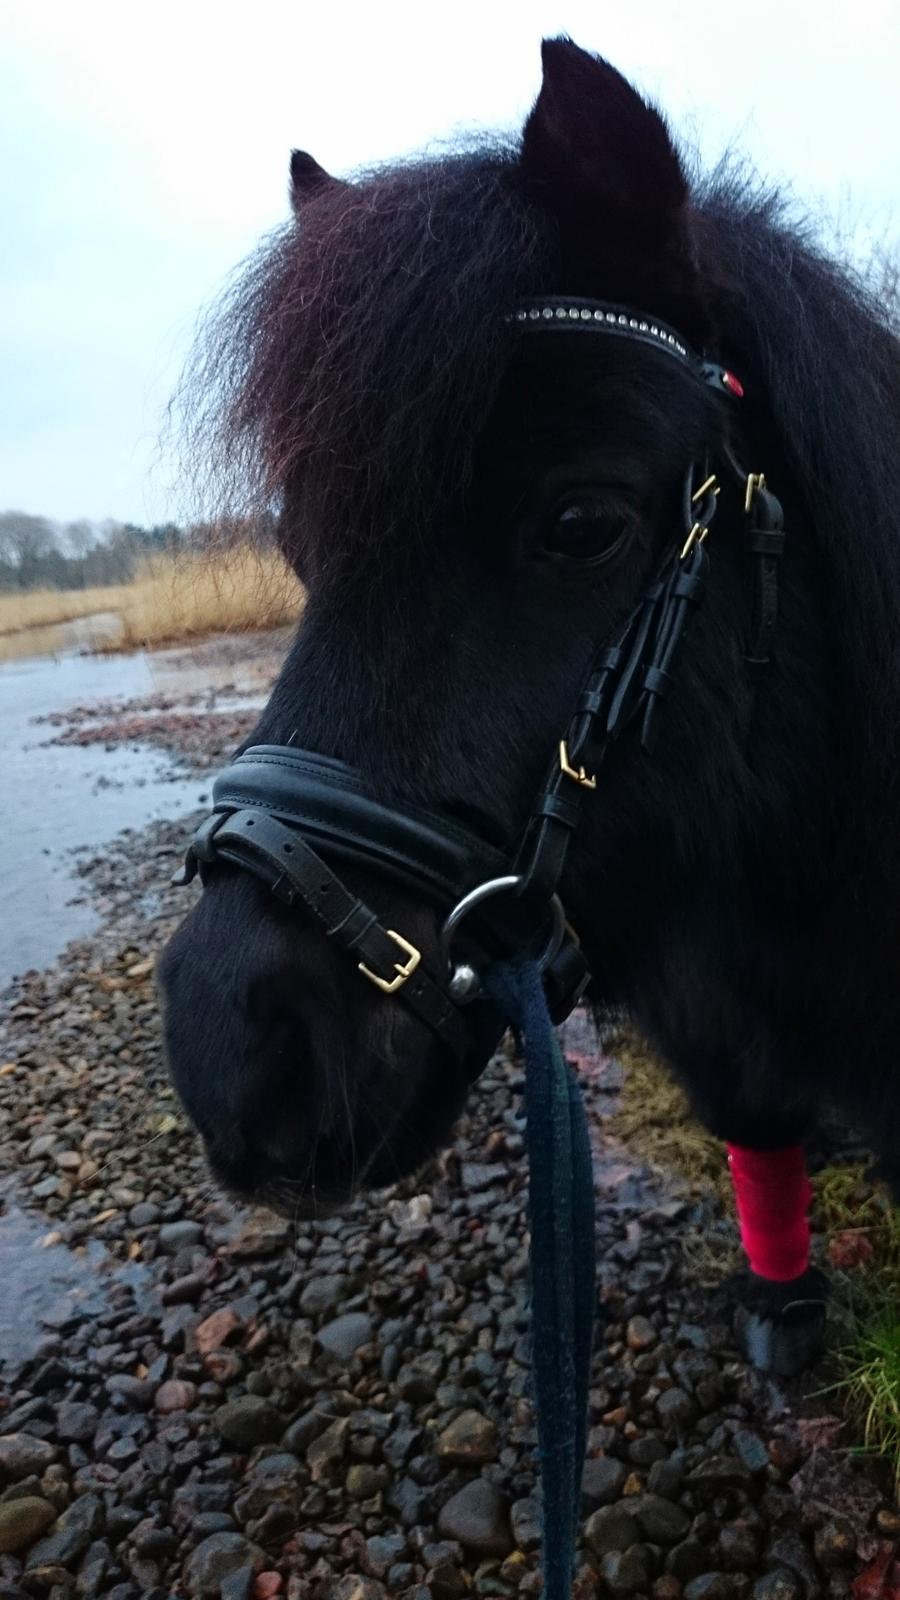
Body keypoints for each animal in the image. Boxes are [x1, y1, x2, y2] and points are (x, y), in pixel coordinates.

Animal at [157, 43, 896, 1382]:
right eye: (298, 546)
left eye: (582, 523)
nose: (230, 1046)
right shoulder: (718, 1022)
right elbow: (757, 1127)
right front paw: (783, 1302)